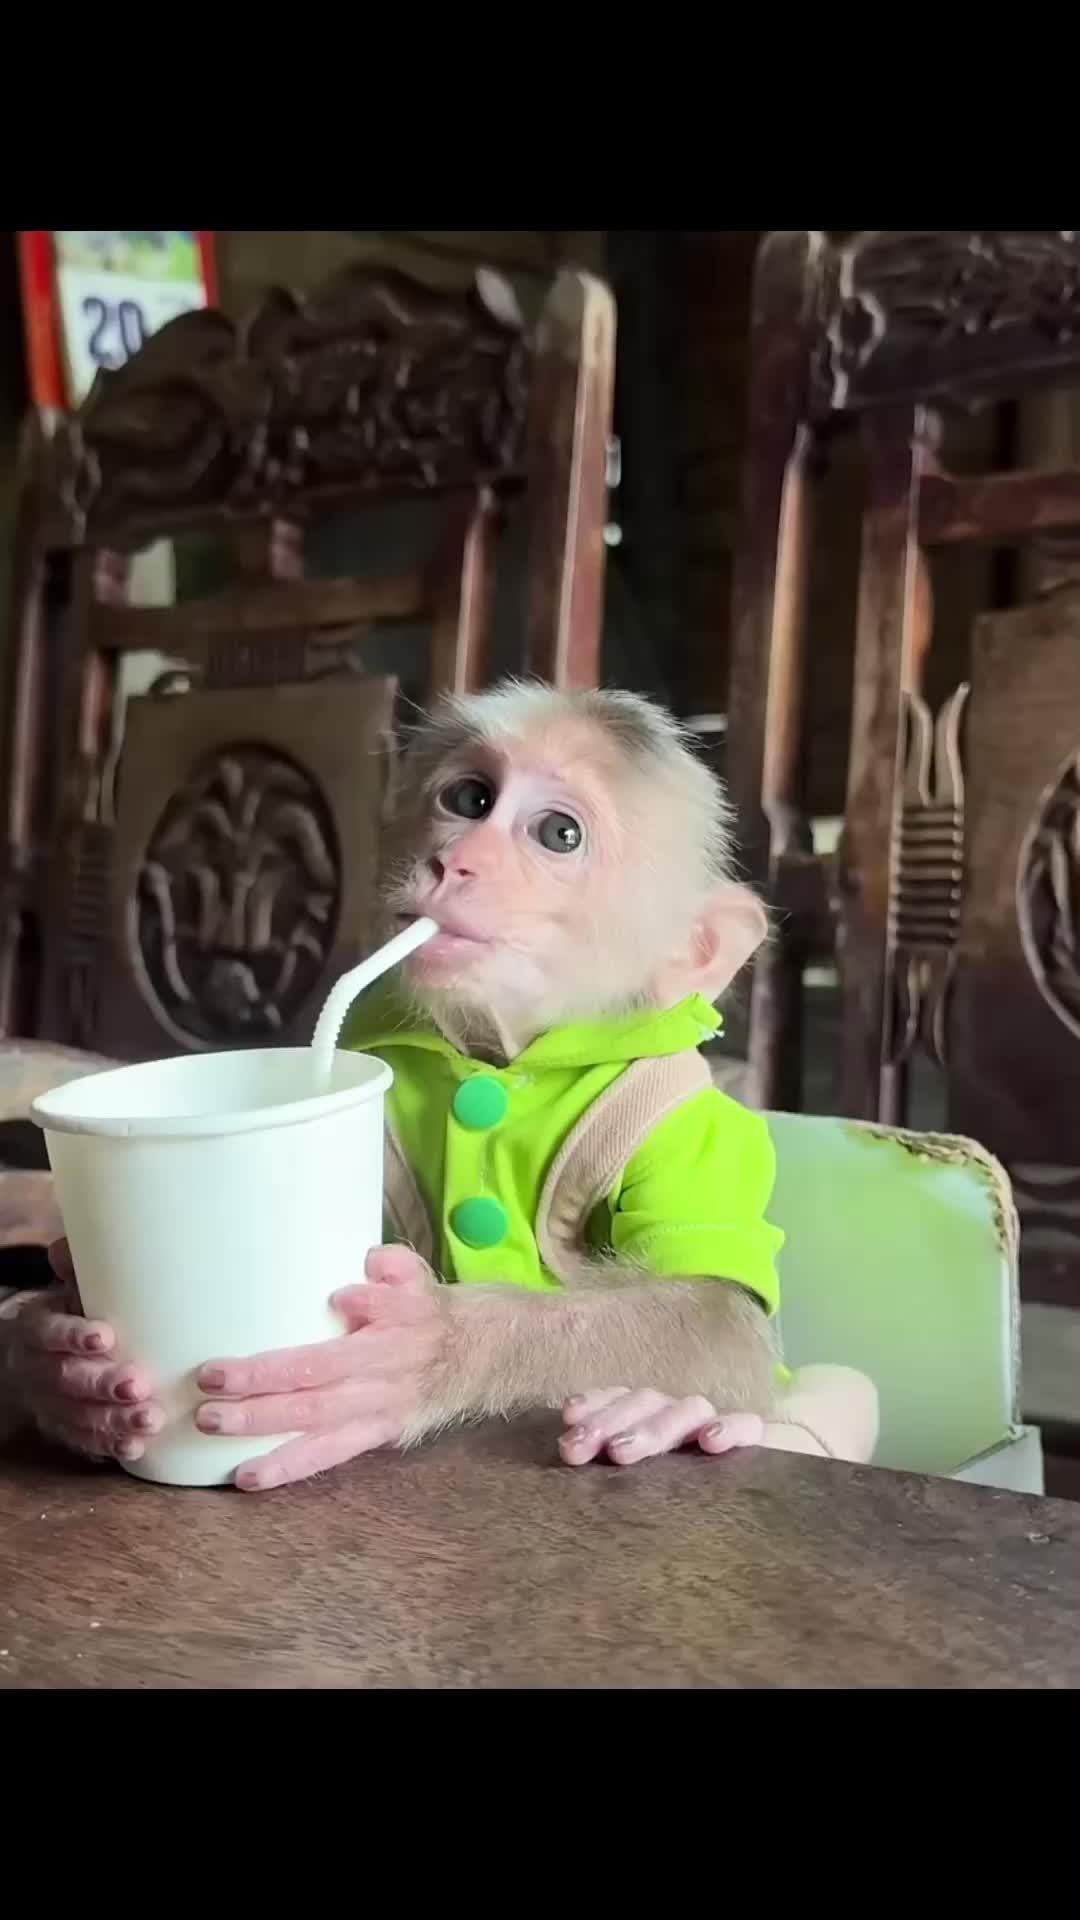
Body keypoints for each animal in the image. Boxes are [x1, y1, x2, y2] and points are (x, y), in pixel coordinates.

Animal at [0, 681, 878, 1487]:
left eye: (559, 834)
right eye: (470, 798)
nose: (455, 861)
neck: (502, 1060)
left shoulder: (698, 1131)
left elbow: (717, 1317)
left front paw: (426, 1350)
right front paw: (57, 1356)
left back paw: (661, 1415)